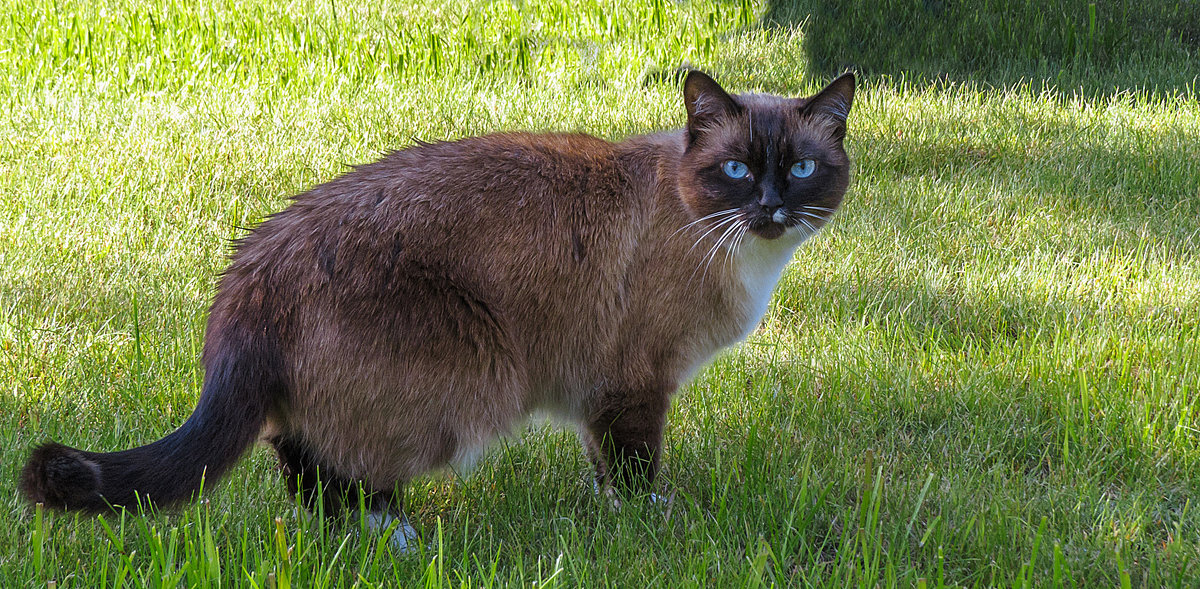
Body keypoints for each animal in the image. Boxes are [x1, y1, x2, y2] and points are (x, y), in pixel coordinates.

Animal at [16, 70, 854, 554]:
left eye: (801, 168)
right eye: (737, 169)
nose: (771, 207)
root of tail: (249, 272)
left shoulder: (601, 389)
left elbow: (601, 465)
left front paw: (610, 514)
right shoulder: (633, 384)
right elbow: (635, 466)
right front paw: (653, 524)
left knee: (294, 453)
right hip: (473, 374)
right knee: (335, 471)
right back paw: (399, 540)